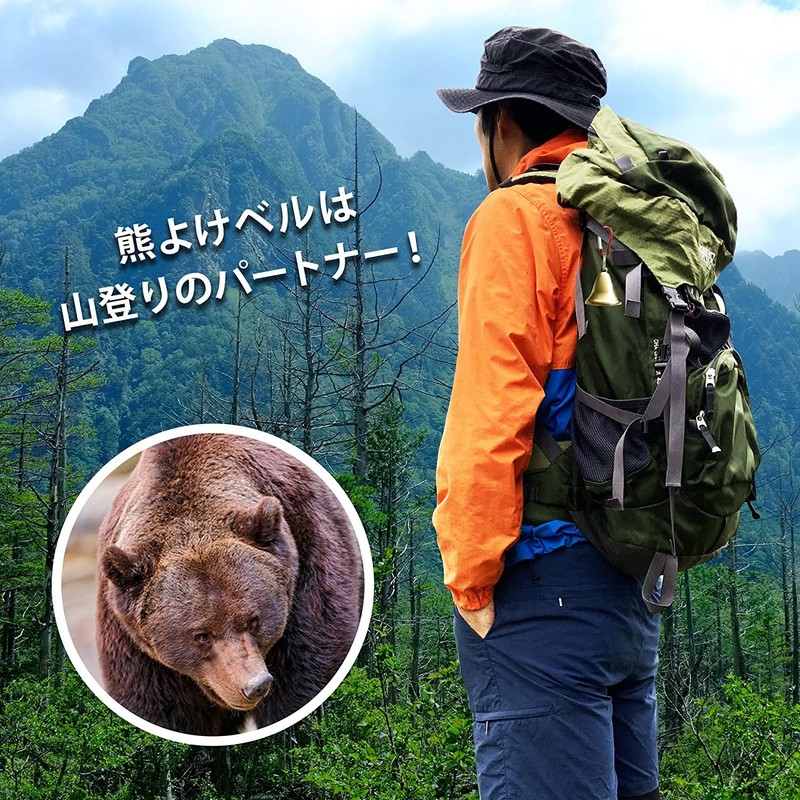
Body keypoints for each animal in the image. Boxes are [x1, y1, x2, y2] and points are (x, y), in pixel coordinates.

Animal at [95, 432, 364, 736]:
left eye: (254, 619)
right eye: (201, 634)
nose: (255, 686)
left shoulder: (309, 560)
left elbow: (306, 676)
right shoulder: (133, 644)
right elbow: (158, 709)